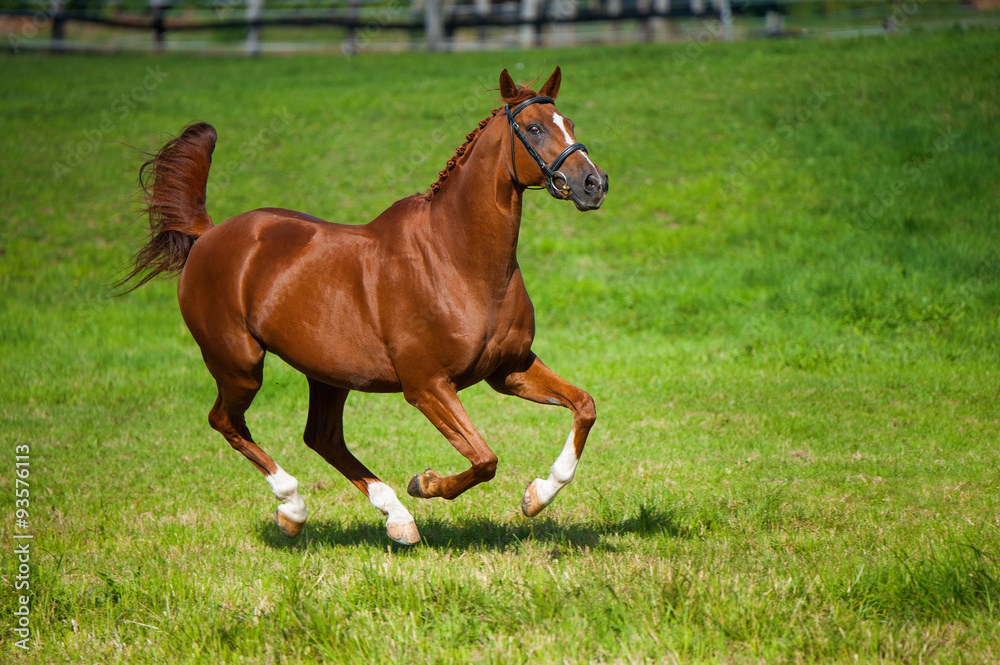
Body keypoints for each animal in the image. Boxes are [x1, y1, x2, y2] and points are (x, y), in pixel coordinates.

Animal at [123, 67, 608, 544]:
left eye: (569, 123)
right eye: (534, 128)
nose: (593, 184)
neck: (458, 260)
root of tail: (208, 236)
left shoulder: (508, 369)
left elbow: (584, 406)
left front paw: (537, 495)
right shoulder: (427, 385)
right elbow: (484, 459)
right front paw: (424, 483)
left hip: (327, 373)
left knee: (322, 437)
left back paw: (396, 518)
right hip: (239, 364)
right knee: (226, 421)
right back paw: (293, 508)